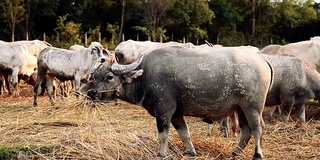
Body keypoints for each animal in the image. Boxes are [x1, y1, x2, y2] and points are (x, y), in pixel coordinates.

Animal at [85, 46, 272, 159]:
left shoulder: (164, 111)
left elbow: (163, 135)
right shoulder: (176, 115)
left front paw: (161, 154)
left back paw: (257, 154)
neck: (144, 77)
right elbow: (184, 133)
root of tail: (263, 61)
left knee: (257, 128)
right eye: (94, 77)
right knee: (246, 131)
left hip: (252, 107)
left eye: (109, 77)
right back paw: (235, 152)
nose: (91, 93)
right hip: (240, 108)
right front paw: (191, 151)